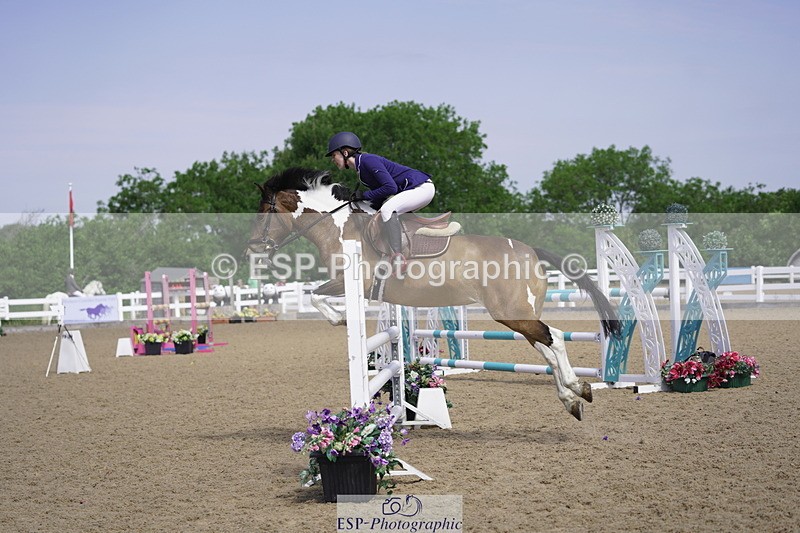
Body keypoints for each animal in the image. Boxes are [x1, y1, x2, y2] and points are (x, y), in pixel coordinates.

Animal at [246, 168, 621, 421]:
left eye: (264, 212)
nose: (254, 246)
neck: (338, 228)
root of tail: (529, 250)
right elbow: (314, 295)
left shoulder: (353, 281)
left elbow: (314, 295)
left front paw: (339, 319)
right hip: (520, 315)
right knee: (546, 347)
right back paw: (573, 398)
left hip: (513, 314)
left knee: (554, 338)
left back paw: (577, 388)